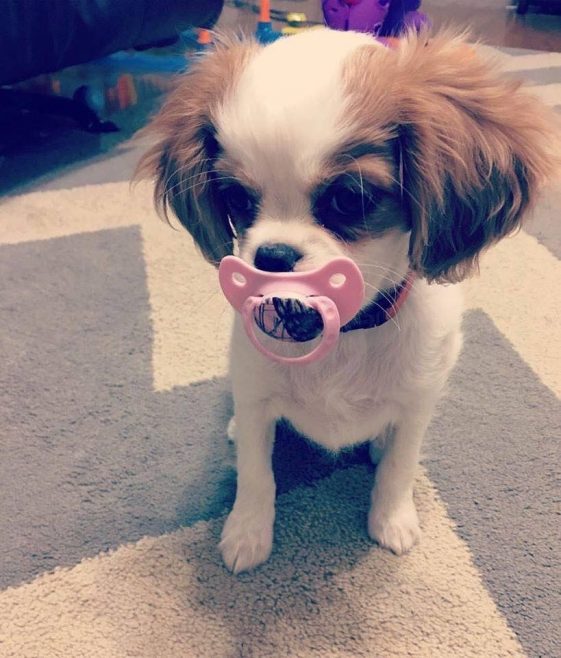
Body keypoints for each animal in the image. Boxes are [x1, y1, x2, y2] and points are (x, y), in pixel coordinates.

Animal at [138, 28, 556, 572]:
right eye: (236, 199)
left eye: (348, 198)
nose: (271, 255)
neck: (341, 332)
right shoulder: (256, 393)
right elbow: (255, 471)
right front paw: (247, 532)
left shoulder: (418, 399)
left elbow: (400, 465)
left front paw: (392, 519)